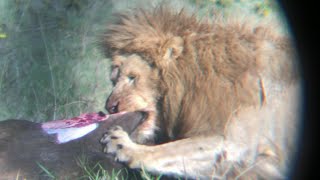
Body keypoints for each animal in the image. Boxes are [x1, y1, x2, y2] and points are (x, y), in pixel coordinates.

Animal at [99, 6, 300, 179]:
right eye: (113, 80)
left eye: (132, 77)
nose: (110, 107)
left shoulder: (238, 142)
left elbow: (170, 150)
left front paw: (123, 144)